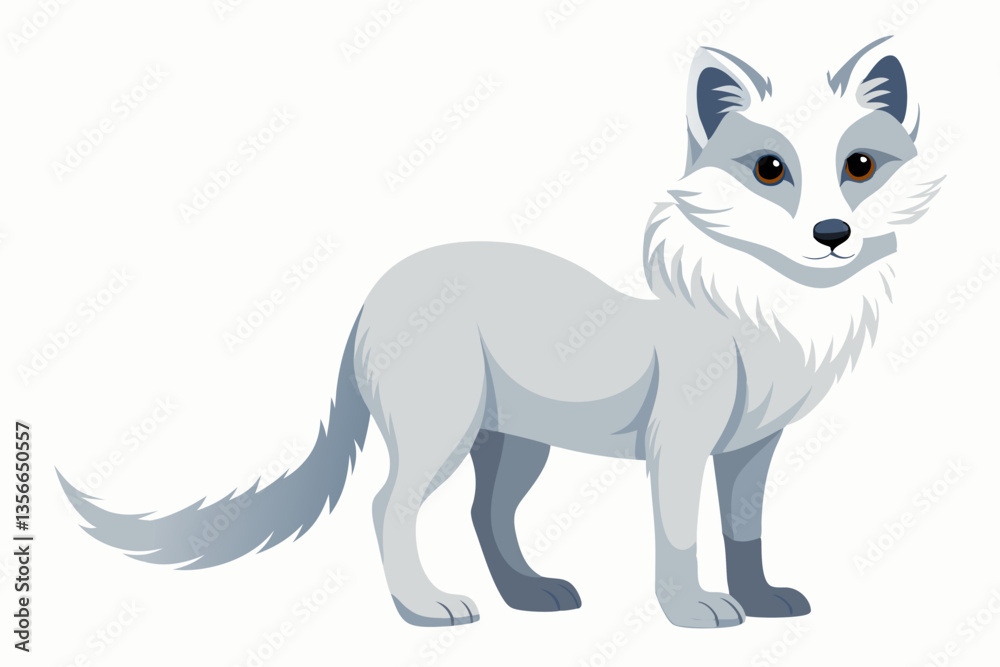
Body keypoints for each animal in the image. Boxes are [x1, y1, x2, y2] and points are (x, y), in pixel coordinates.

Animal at [60, 36, 943, 629]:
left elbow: (746, 530)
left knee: (485, 516)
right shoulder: (682, 445)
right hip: (445, 429)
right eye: (769, 170)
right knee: (388, 505)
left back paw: (529, 595)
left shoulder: (752, 447)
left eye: (861, 167)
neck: (766, 313)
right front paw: (693, 610)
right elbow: (682, 537)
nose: (832, 234)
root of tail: (372, 297)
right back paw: (424, 607)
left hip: (516, 443)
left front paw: (762, 600)